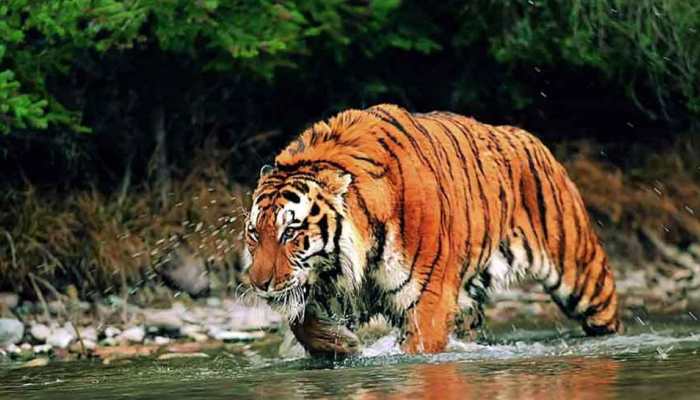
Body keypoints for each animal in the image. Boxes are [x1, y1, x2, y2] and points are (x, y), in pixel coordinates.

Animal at [244, 104, 622, 355]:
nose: (258, 283)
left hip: (583, 276)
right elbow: (301, 321)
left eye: (290, 232)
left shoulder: (428, 302)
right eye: (254, 235)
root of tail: (528, 137)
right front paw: (341, 345)